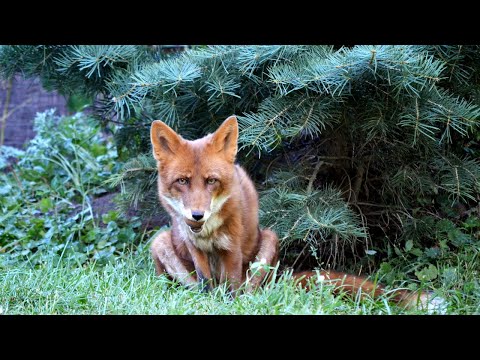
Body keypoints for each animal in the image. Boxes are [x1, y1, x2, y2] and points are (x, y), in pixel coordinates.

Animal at [149, 116, 442, 310]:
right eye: (182, 181)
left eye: (211, 181)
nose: (197, 215)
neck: (209, 234)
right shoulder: (195, 250)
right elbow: (205, 284)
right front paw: (209, 304)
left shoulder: (232, 250)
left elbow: (232, 289)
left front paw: (227, 307)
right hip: (160, 243)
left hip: (268, 242)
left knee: (251, 293)